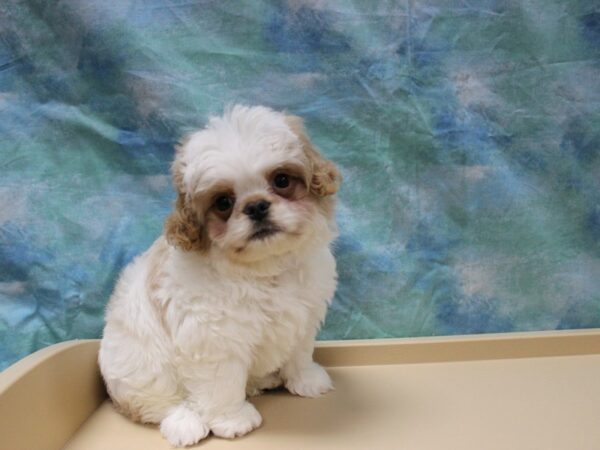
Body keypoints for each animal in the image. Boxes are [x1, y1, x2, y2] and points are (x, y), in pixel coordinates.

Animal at [101, 104, 340, 446]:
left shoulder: (304, 316)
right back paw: (185, 423)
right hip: (139, 364)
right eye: (223, 202)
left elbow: (300, 351)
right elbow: (222, 382)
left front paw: (306, 380)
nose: (256, 206)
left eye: (281, 180)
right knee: (157, 402)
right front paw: (233, 420)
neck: (265, 269)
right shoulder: (214, 339)